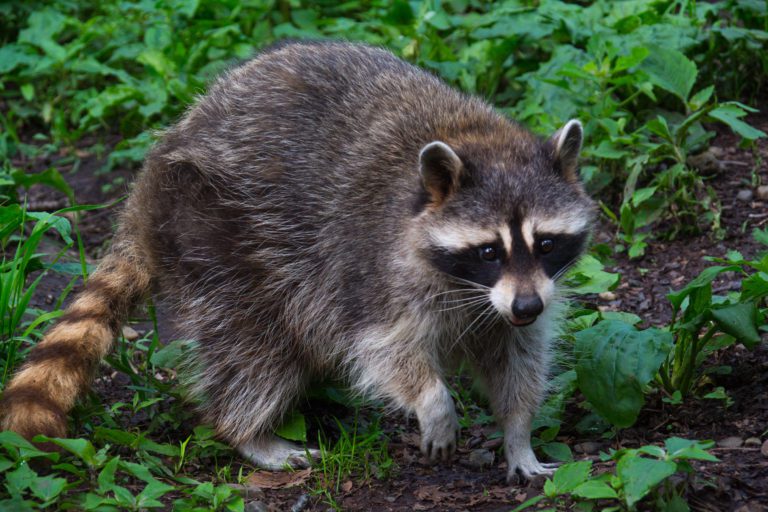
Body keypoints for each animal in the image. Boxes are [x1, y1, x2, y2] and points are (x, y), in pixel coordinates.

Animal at [0, 41, 595, 482]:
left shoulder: (514, 299)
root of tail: (143, 194)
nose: (526, 306)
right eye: (489, 250)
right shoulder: (369, 267)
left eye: (546, 244)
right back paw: (248, 432)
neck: (477, 139)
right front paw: (434, 403)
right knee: (251, 346)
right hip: (215, 227)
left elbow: (517, 358)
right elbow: (383, 348)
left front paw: (518, 435)